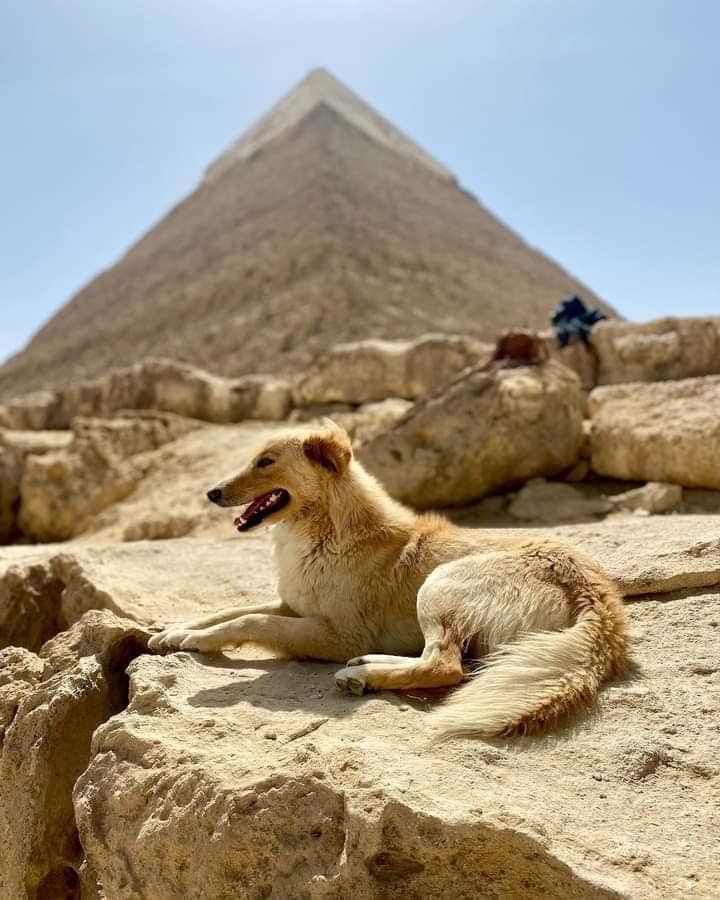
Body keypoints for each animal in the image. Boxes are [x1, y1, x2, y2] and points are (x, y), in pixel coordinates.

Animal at [148, 422, 632, 740]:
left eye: (265, 462)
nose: (211, 493)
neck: (326, 529)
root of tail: (600, 600)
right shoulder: (294, 604)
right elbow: (231, 609)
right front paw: (176, 632)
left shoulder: (339, 634)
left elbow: (251, 622)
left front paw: (197, 640)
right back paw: (368, 666)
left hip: (439, 585)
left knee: (445, 666)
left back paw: (364, 675)